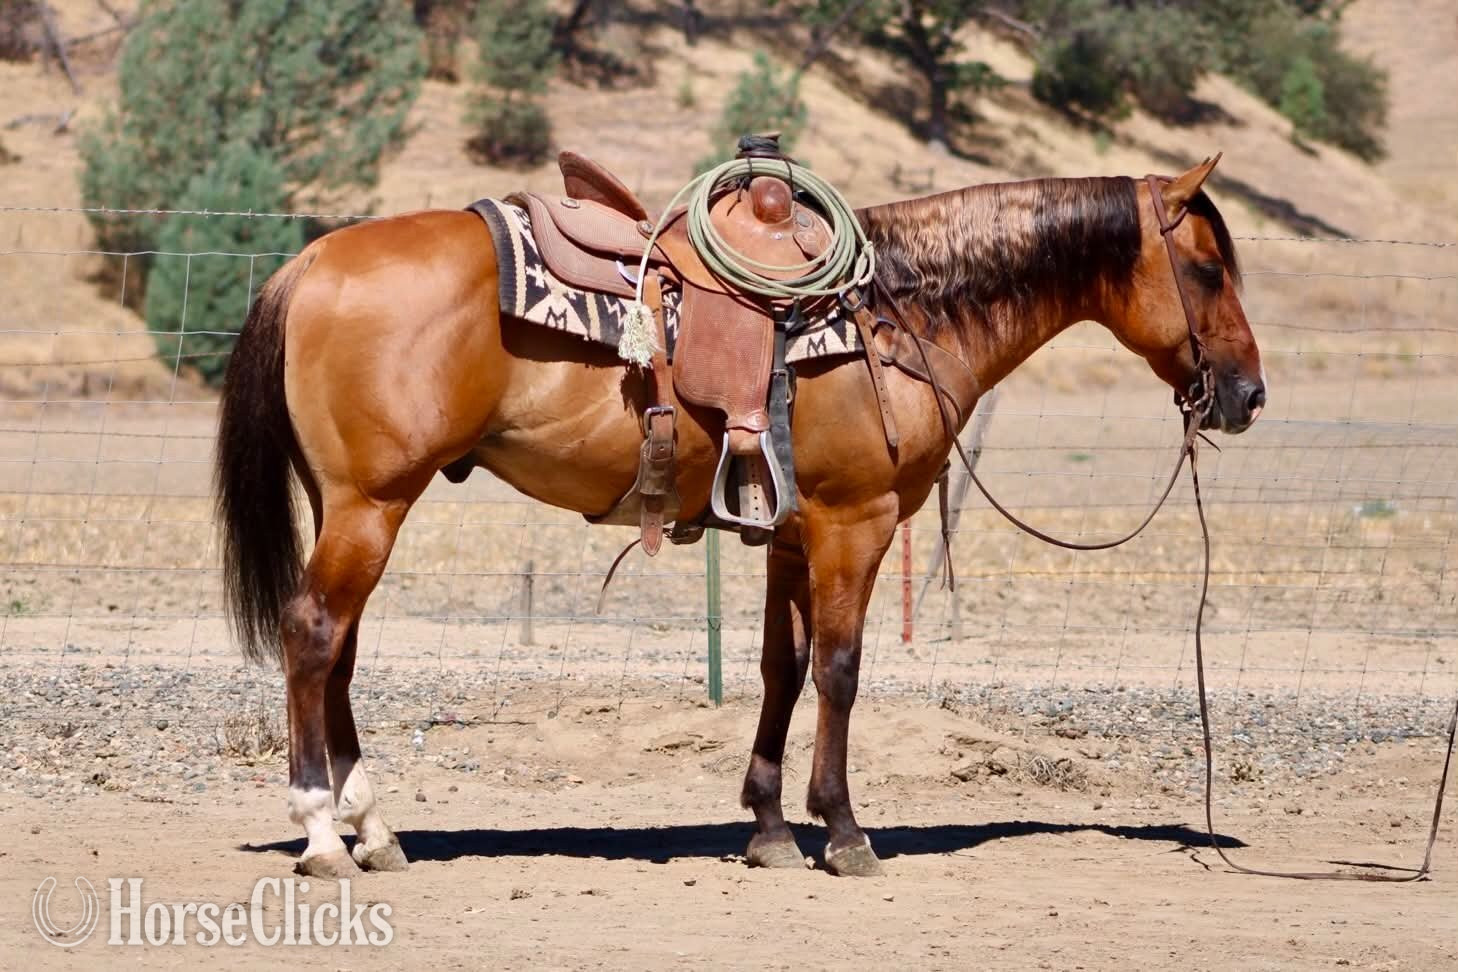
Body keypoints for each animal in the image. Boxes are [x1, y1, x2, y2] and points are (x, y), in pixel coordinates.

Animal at [214, 155, 1264, 879]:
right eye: (1209, 268)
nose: (1248, 395)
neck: (897, 314)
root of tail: (312, 258)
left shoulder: (790, 534)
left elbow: (781, 671)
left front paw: (767, 829)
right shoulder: (854, 524)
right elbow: (839, 671)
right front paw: (843, 832)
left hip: (351, 503)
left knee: (340, 650)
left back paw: (374, 829)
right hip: (372, 504)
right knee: (314, 634)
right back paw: (321, 834)